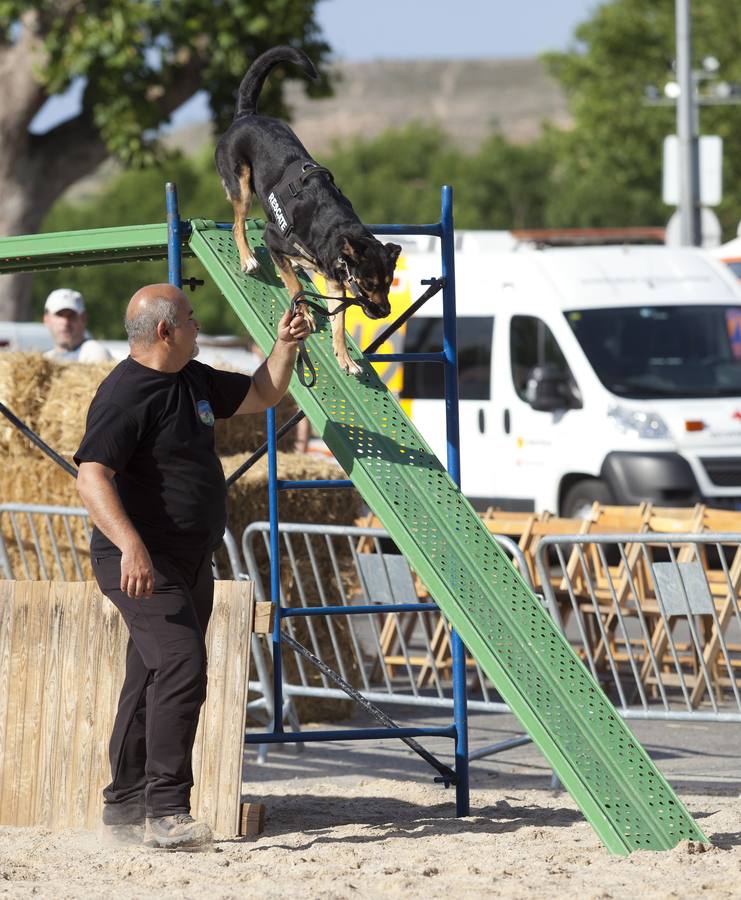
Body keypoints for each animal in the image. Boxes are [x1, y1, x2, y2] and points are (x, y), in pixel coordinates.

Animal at [215, 46, 398, 372]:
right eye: (368, 283)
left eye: (388, 283)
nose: (385, 312)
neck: (335, 229)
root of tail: (246, 116)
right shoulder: (274, 240)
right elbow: (295, 288)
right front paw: (307, 315)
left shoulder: (336, 283)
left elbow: (339, 321)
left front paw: (345, 359)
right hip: (242, 185)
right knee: (237, 224)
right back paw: (248, 259)